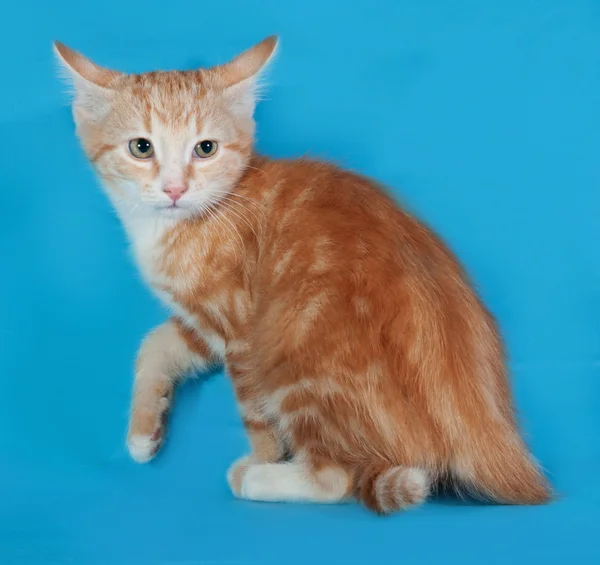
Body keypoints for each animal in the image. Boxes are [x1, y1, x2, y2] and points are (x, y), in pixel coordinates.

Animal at [54, 35, 552, 512]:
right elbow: (154, 343)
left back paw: (261, 479)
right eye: (141, 147)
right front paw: (143, 433)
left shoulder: (240, 329)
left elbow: (255, 413)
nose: (175, 189)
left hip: (293, 347)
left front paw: (264, 457)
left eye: (205, 148)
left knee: (338, 478)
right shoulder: (204, 321)